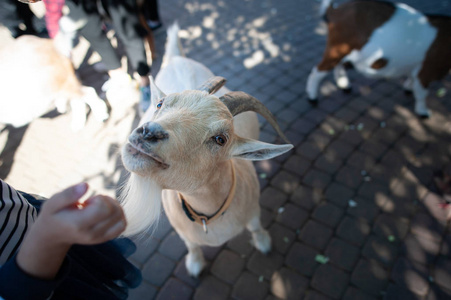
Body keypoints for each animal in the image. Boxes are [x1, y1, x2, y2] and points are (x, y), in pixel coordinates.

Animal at [120, 24, 294, 278]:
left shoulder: (253, 210)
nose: (148, 133)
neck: (209, 219)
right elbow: (192, 246)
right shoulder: (184, 233)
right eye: (160, 104)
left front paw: (264, 243)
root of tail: (176, 57)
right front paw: (194, 264)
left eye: (220, 139)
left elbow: (256, 227)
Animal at [308, 0, 451, 117]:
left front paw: (408, 89)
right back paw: (312, 98)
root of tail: (335, 11)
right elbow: (422, 93)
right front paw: (423, 112)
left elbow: (412, 80)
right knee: (318, 71)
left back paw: (344, 85)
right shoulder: (427, 70)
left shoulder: (417, 69)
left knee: (339, 65)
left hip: (343, 50)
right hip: (337, 47)